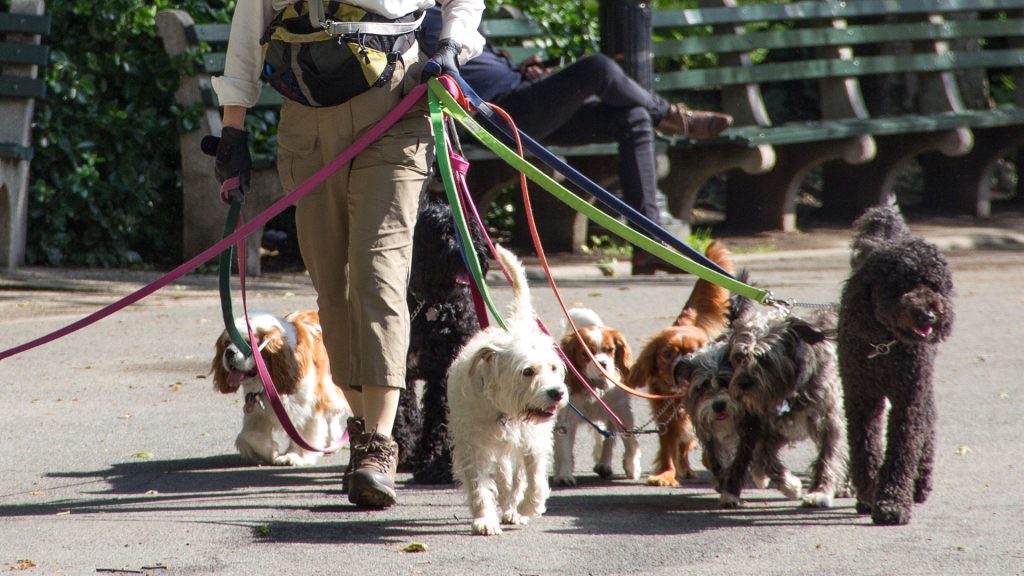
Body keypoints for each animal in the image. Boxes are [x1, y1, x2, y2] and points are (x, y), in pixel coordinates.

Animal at [389, 190, 489, 481]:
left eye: (470, 230)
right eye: (443, 232)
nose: (472, 253)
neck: (432, 305)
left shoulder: (445, 371)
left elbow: (439, 418)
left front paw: (434, 462)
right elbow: (401, 411)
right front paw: (404, 450)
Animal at [448, 243, 573, 537]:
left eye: (553, 368)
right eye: (527, 371)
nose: (557, 393)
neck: (503, 410)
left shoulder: (533, 441)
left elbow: (535, 479)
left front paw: (527, 507)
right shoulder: (473, 445)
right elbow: (479, 484)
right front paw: (485, 519)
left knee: (515, 477)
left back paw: (513, 507)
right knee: (504, 475)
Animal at [835, 203, 954, 522]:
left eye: (934, 285)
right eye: (901, 285)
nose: (929, 314)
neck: (885, 346)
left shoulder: (909, 398)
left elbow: (902, 448)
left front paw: (892, 503)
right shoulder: (861, 397)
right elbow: (864, 447)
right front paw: (868, 492)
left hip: (923, 387)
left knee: (929, 422)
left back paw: (920, 483)